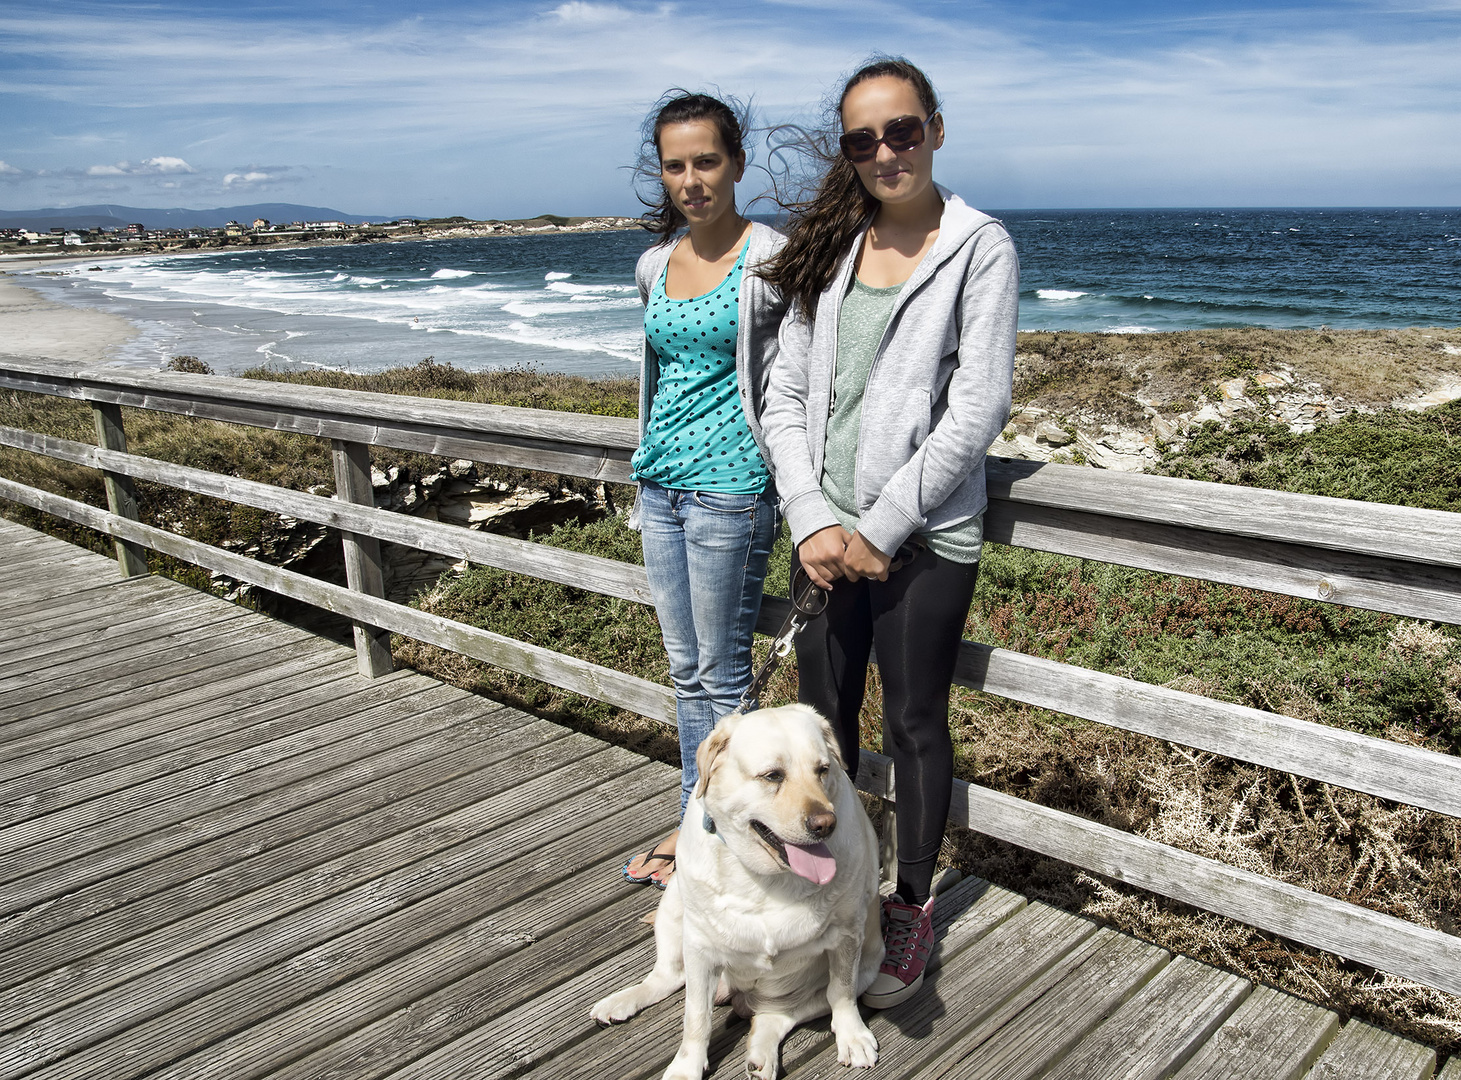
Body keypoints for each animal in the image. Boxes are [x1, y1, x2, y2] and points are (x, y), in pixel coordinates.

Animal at [590, 704, 876, 1080]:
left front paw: (853, 1037)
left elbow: (841, 992)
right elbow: (696, 1018)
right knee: (667, 977)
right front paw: (686, 1067)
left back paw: (761, 1055)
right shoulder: (699, 946)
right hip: (673, 907)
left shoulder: (848, 934)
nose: (825, 824)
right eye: (772, 776)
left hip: (870, 964)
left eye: (823, 769)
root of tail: (739, 996)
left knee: (778, 1016)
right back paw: (620, 1001)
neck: (768, 879)